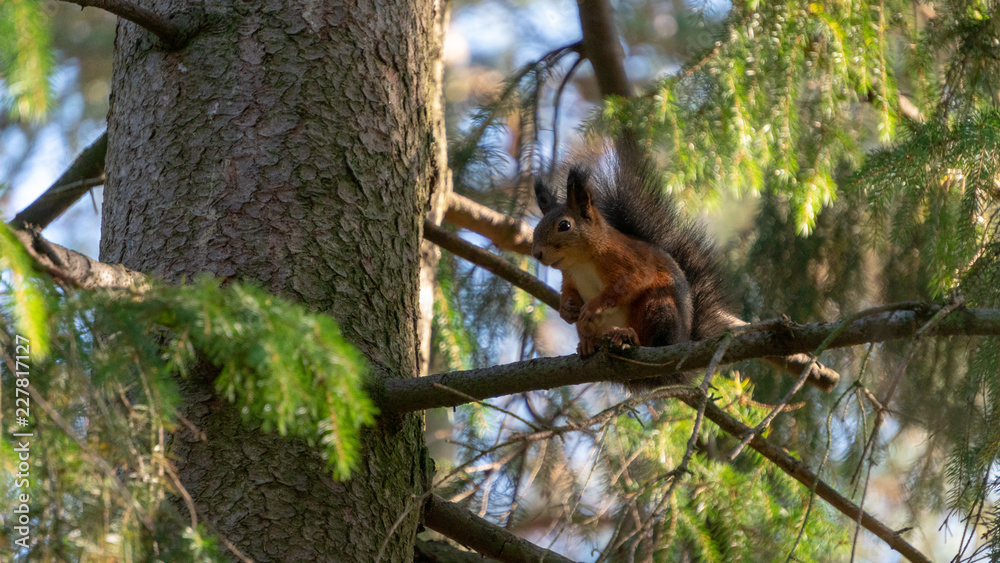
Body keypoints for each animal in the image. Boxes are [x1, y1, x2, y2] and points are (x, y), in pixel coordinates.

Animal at [532, 156, 840, 392]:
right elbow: (569, 294)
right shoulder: (570, 278)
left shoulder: (628, 261)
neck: (580, 263)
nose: (536, 253)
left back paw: (626, 336)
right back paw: (589, 344)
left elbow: (629, 283)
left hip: (657, 307)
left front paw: (593, 305)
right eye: (537, 226)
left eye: (564, 225)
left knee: (651, 340)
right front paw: (568, 309)